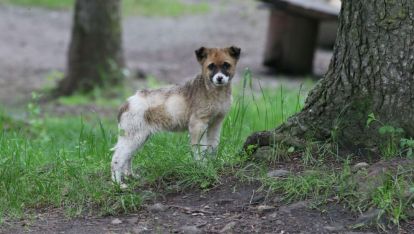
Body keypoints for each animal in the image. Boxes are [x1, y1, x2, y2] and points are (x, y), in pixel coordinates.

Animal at [111, 45, 241, 185]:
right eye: (211, 66)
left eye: (226, 65)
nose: (219, 78)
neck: (212, 91)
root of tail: (127, 103)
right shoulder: (197, 125)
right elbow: (199, 149)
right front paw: (202, 166)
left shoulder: (215, 124)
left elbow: (212, 146)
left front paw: (212, 164)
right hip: (132, 137)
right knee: (117, 159)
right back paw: (118, 184)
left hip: (139, 137)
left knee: (128, 157)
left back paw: (131, 176)